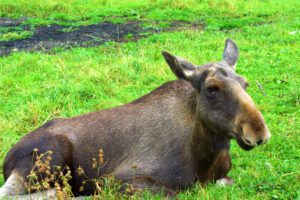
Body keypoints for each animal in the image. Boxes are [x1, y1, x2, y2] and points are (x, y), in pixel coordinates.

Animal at [0, 39, 270, 198]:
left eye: (245, 83)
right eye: (212, 88)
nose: (258, 132)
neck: (204, 155)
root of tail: (6, 160)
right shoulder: (118, 179)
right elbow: (174, 193)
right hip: (46, 162)